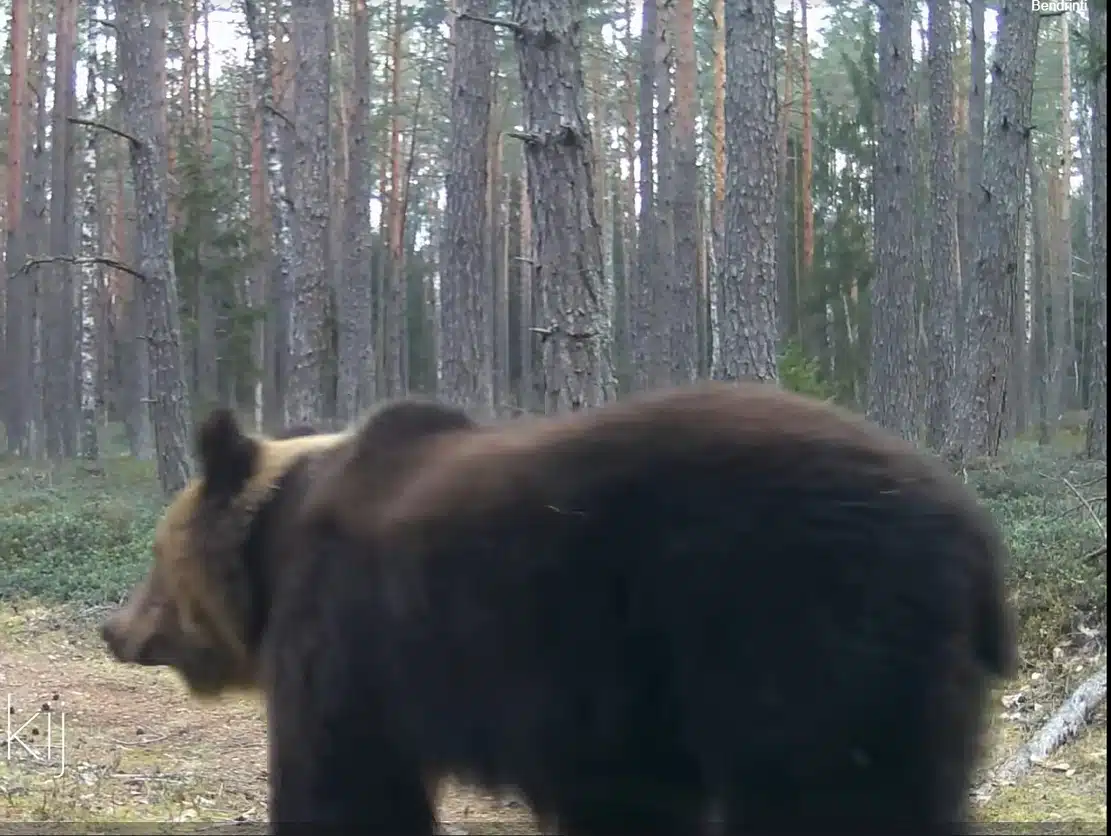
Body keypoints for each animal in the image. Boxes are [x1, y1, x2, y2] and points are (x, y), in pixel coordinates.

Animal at [101, 382, 1016, 836]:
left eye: (151, 557)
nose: (114, 627)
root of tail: (975, 534)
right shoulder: (611, 716)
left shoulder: (347, 642)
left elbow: (342, 784)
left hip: (798, 625)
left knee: (831, 796)